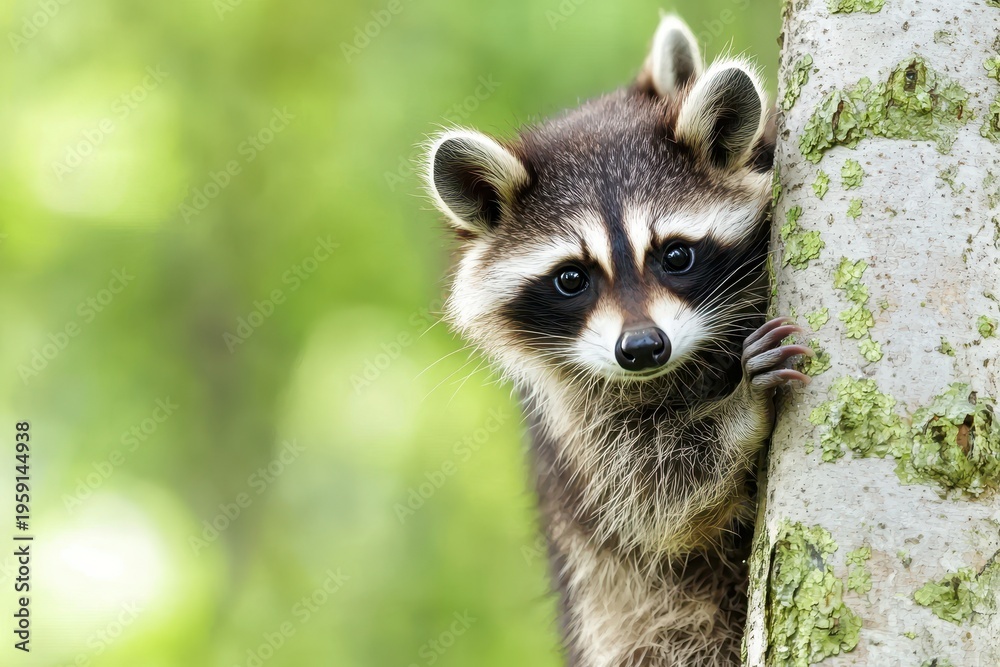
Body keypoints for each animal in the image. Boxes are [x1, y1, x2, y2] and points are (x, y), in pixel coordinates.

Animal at [423, 16, 810, 667]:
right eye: (571, 279)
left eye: (676, 255)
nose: (643, 348)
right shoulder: (577, 423)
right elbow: (654, 497)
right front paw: (739, 408)